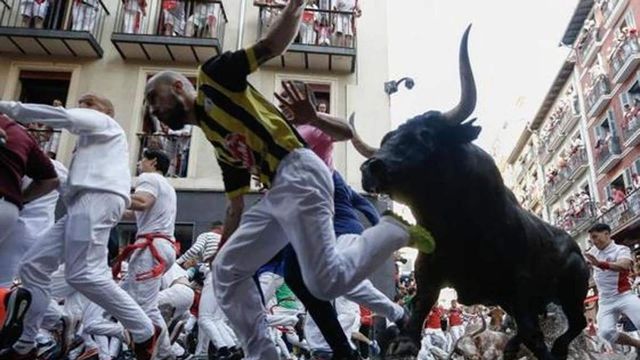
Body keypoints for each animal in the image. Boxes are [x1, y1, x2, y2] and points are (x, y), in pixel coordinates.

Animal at [358, 26, 588, 360]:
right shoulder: (429, 274)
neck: (457, 228)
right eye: (387, 139)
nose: (370, 168)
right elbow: (417, 315)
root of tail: (575, 246)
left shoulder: (520, 285)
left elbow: (532, 334)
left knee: (577, 322)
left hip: (572, 290)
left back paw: (553, 347)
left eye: (424, 135)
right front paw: (403, 343)